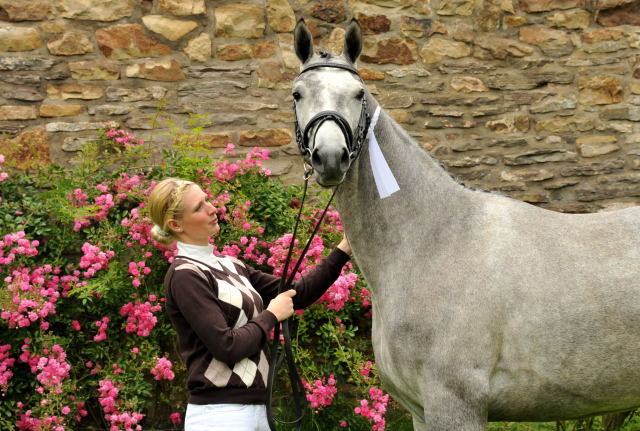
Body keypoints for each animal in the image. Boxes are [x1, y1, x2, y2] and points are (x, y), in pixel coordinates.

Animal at [292, 17, 640, 431]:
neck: (435, 240)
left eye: (359, 93)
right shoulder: (422, 412)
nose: (330, 157)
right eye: (297, 94)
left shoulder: (456, 406)